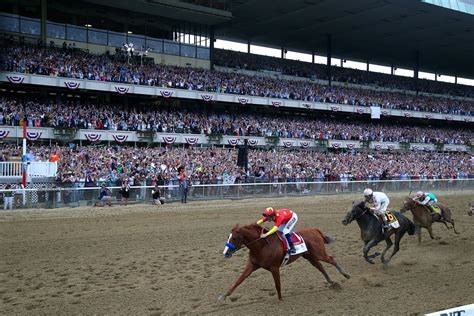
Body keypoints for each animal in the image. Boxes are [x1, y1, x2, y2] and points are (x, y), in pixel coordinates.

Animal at [220, 223, 350, 300]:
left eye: (234, 238)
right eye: (228, 236)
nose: (225, 253)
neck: (262, 246)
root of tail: (315, 230)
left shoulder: (274, 268)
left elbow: (277, 284)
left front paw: (280, 299)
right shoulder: (252, 265)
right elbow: (239, 280)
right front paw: (224, 295)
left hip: (319, 253)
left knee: (331, 259)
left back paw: (346, 275)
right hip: (310, 256)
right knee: (320, 266)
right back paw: (331, 281)